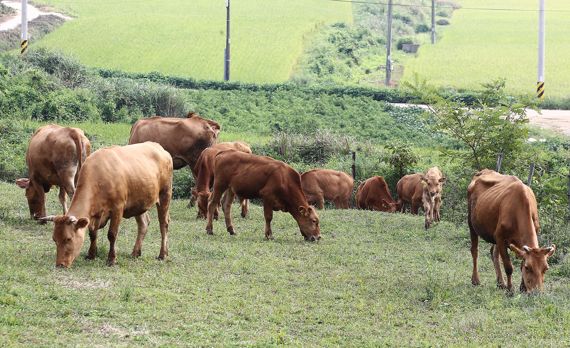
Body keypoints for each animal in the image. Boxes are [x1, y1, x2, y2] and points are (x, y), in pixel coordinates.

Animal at [39, 143, 172, 268]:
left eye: (68, 239)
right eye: (54, 239)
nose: (60, 264)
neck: (99, 177)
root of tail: (158, 147)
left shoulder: (118, 208)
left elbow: (112, 234)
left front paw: (111, 259)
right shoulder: (96, 213)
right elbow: (93, 234)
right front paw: (91, 254)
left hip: (165, 194)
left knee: (163, 224)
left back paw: (162, 254)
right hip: (139, 202)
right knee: (143, 223)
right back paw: (135, 252)